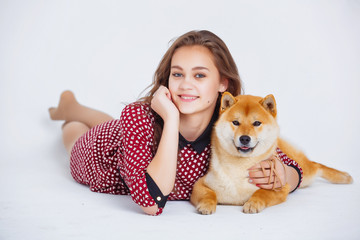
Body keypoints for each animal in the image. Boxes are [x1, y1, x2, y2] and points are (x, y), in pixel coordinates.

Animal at [190, 92, 352, 214]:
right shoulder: (200, 184)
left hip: (304, 172)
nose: (244, 138)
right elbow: (208, 194)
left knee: (315, 165)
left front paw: (253, 203)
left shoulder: (280, 187)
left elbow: (262, 193)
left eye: (257, 123)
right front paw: (207, 204)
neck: (240, 167)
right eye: (236, 122)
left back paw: (343, 176)